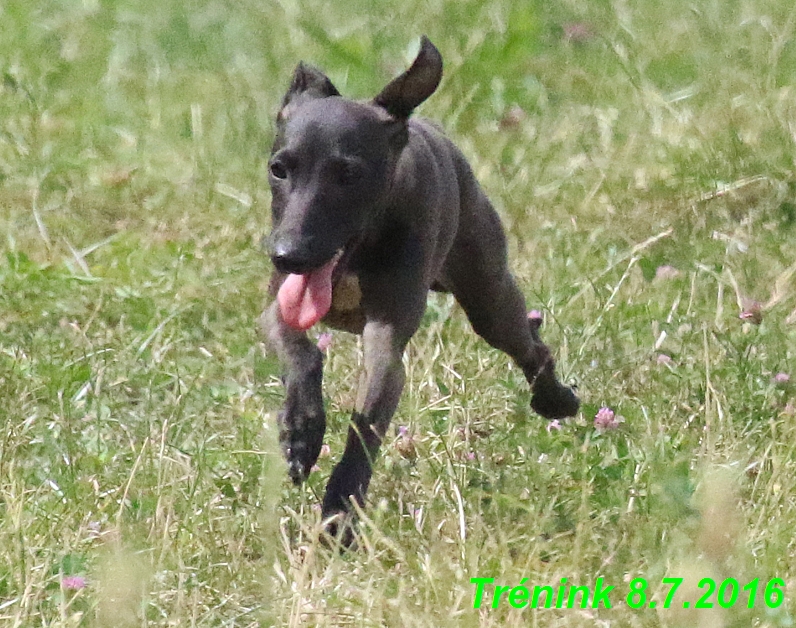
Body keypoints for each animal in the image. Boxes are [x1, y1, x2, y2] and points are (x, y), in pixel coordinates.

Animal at [262, 36, 580, 544]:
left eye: (348, 174)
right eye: (279, 169)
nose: (288, 254)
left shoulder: (385, 338)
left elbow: (365, 428)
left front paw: (338, 518)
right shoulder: (277, 306)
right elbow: (300, 351)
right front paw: (300, 432)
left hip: (487, 293)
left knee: (527, 341)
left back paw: (555, 398)